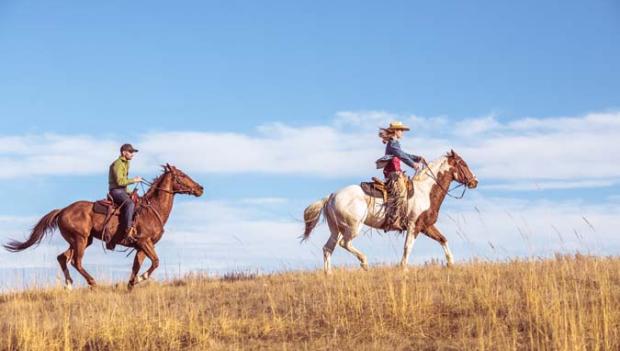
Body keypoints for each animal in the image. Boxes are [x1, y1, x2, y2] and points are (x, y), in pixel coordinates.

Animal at [4, 165, 203, 292]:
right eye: (182, 175)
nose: (200, 188)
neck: (152, 209)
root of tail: (63, 210)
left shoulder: (141, 247)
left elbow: (136, 266)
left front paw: (131, 284)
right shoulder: (144, 242)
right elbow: (155, 262)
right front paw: (140, 279)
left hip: (82, 240)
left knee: (62, 258)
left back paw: (69, 285)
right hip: (80, 239)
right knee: (76, 261)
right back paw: (92, 283)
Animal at [302, 150, 478, 274]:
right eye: (463, 163)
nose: (474, 181)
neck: (425, 191)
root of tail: (331, 196)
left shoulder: (425, 226)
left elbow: (443, 239)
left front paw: (450, 263)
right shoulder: (414, 226)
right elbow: (408, 247)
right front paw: (404, 268)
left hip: (337, 229)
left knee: (327, 249)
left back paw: (329, 274)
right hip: (353, 227)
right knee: (344, 244)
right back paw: (364, 263)